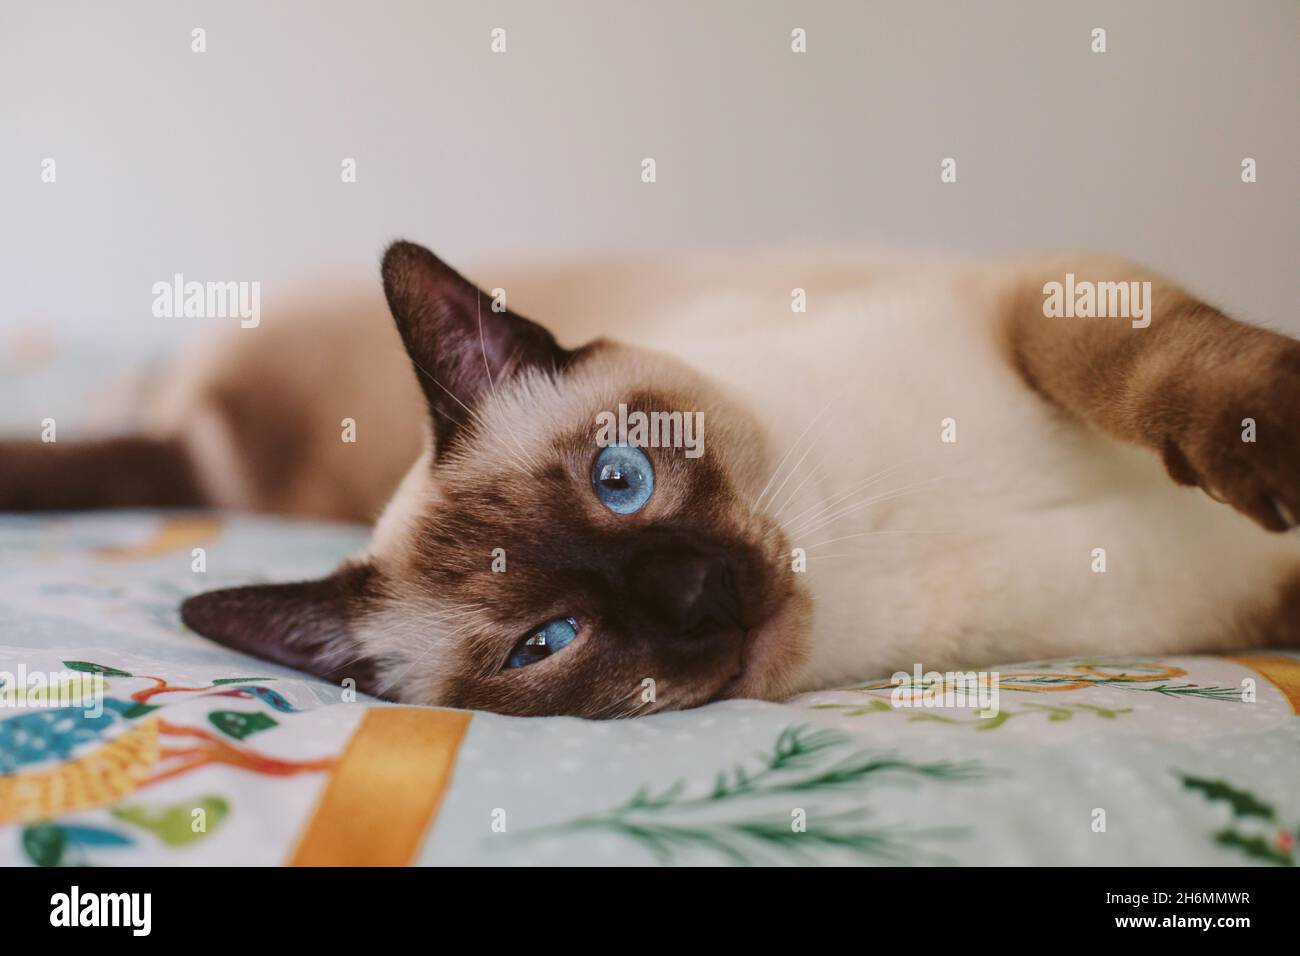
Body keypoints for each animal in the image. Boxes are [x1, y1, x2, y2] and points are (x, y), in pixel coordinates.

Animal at [2, 243, 1300, 712]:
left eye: (618, 477)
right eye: (546, 641)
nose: (693, 594)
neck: (866, 546)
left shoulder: (1029, 298)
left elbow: (1151, 369)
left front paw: (1267, 444)